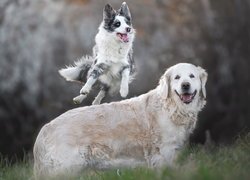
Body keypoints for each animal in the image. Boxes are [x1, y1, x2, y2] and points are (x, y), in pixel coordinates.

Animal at [34, 62, 208, 178]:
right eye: (177, 77)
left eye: (192, 76)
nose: (185, 85)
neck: (173, 108)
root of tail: (45, 128)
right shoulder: (163, 154)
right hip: (66, 168)